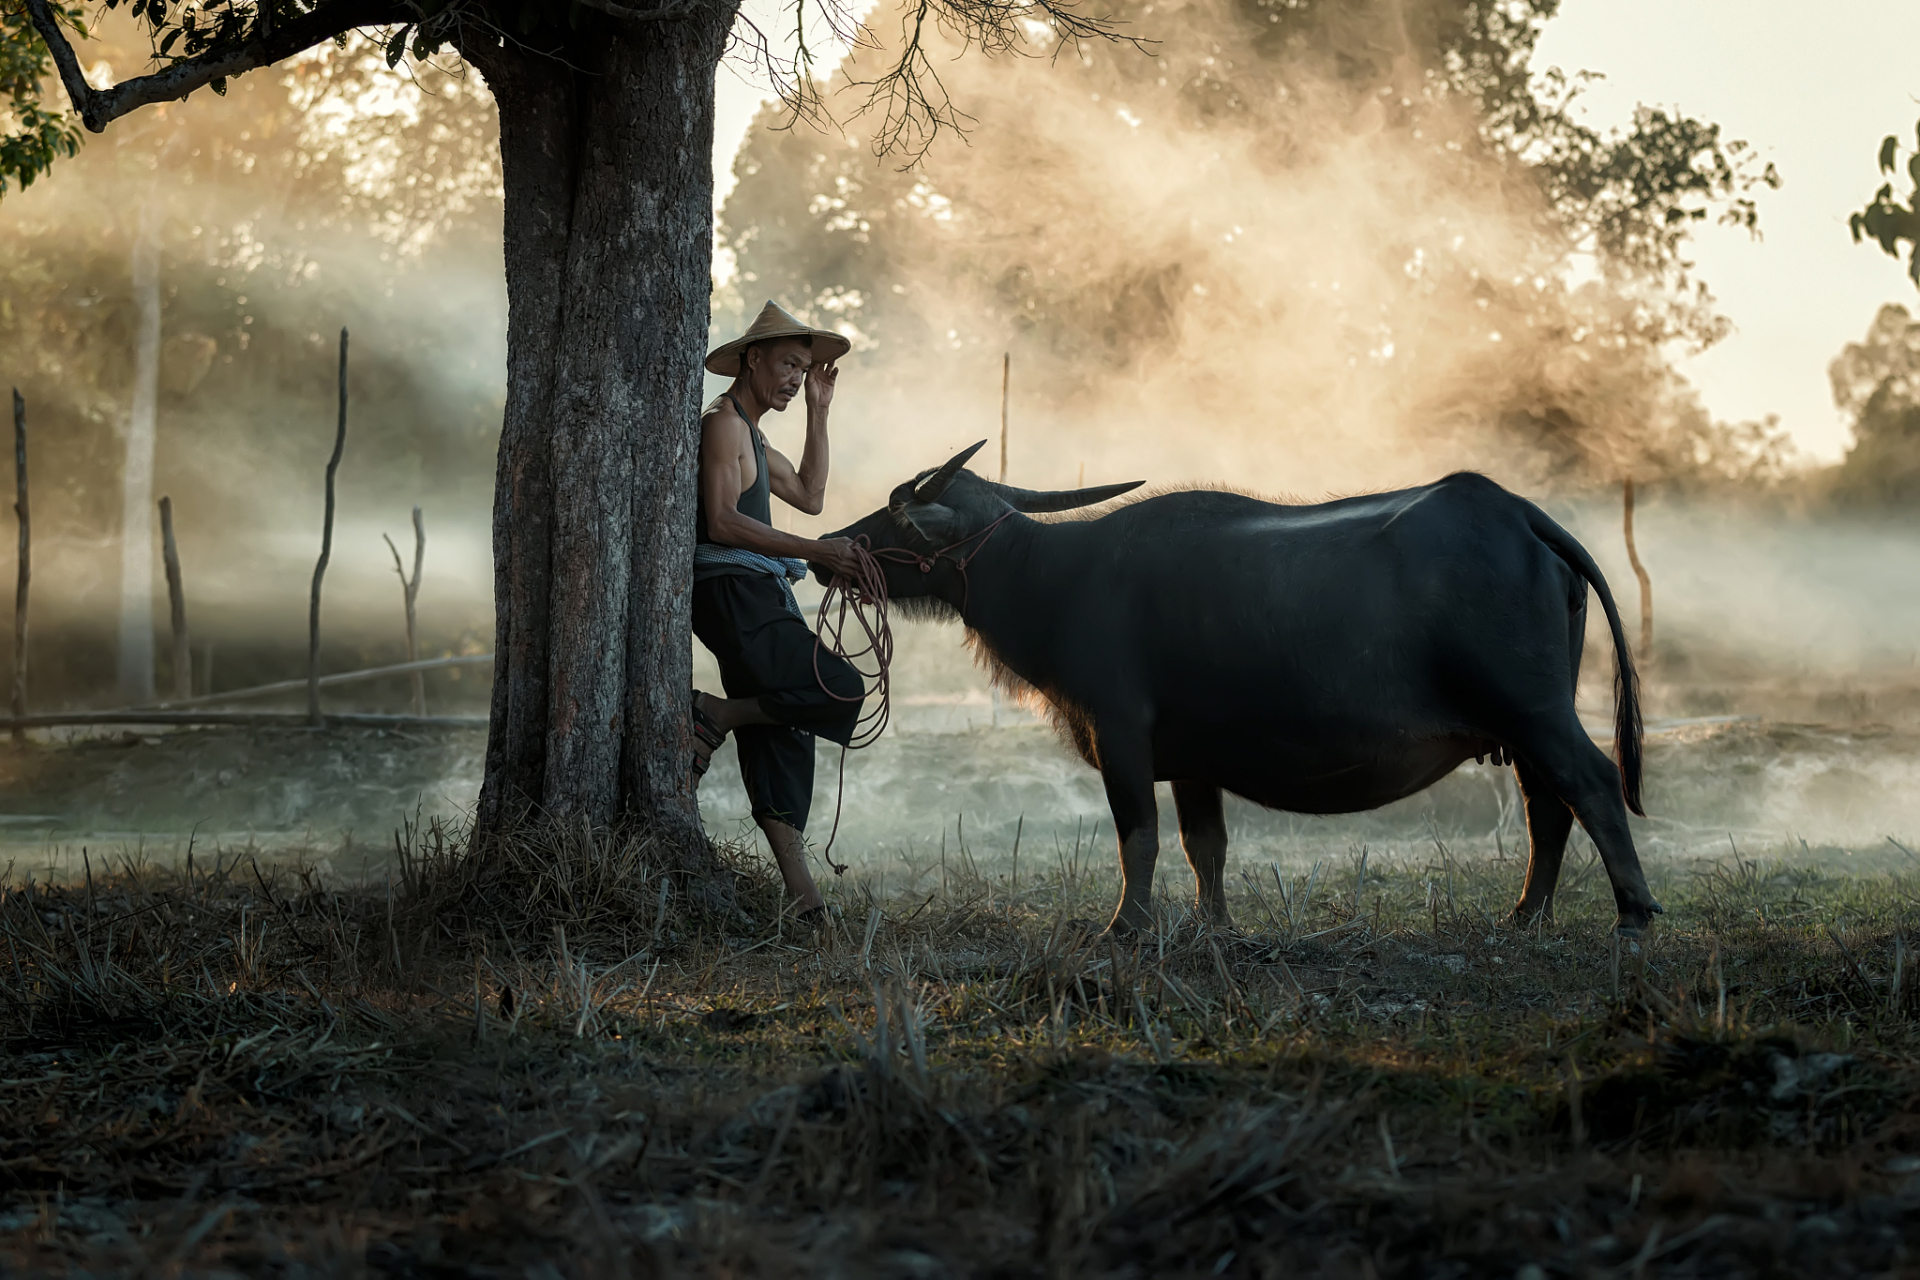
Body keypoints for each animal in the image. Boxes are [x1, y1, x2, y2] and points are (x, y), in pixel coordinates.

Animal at [810, 445, 1666, 936]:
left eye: (896, 514)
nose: (825, 547)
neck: (1056, 578)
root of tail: (1518, 515)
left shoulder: (1122, 735)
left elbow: (1139, 838)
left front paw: (1127, 927)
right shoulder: (1193, 759)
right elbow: (1205, 846)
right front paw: (1213, 926)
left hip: (1535, 710)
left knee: (1591, 784)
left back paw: (1632, 913)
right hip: (1518, 727)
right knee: (1548, 806)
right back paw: (1524, 916)